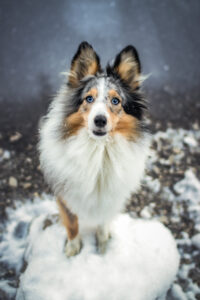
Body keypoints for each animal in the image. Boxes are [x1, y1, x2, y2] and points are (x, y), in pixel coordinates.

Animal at [38, 41, 149, 258]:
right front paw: (73, 248)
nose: (100, 120)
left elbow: (103, 222)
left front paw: (104, 246)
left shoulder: (109, 196)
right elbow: (72, 223)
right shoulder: (65, 194)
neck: (99, 151)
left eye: (115, 101)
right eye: (89, 99)